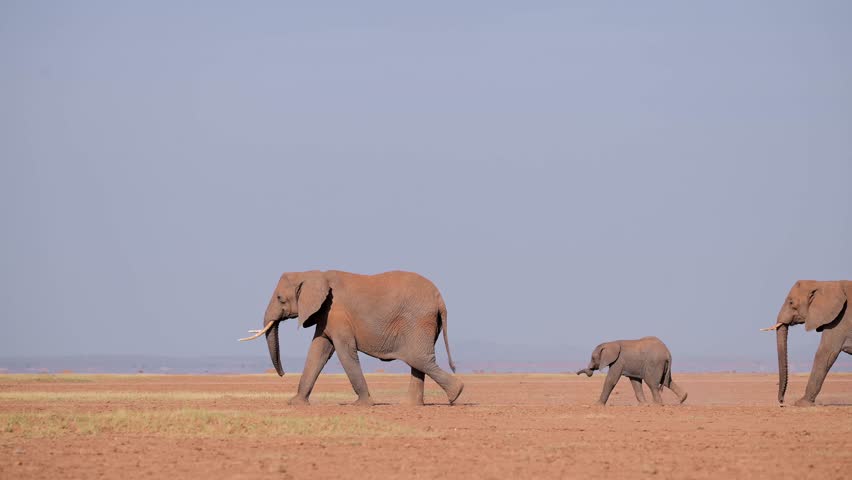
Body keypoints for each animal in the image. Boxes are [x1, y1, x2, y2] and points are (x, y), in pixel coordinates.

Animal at [239, 270, 463, 406]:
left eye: (280, 299)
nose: (283, 374)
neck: (313, 274)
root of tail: (440, 300)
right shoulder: (325, 315)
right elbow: (317, 352)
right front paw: (295, 403)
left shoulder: (337, 314)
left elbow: (345, 353)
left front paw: (362, 404)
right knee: (418, 360)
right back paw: (410, 405)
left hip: (418, 321)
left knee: (418, 358)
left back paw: (456, 394)